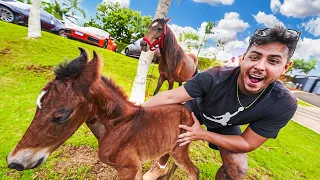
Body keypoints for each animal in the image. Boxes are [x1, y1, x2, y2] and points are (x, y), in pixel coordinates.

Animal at [6, 47, 199, 180]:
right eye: (37, 106)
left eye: (62, 115)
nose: (13, 161)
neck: (117, 126)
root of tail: (188, 111)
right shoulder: (133, 169)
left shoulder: (129, 168)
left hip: (179, 150)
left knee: (194, 171)